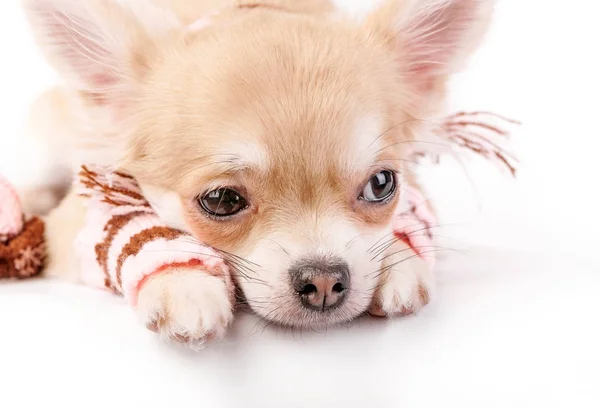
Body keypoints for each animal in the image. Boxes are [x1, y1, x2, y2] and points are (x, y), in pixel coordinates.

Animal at [18, 0, 494, 346]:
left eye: (381, 185)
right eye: (222, 200)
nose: (325, 280)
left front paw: (399, 258)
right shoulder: (79, 216)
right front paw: (183, 281)